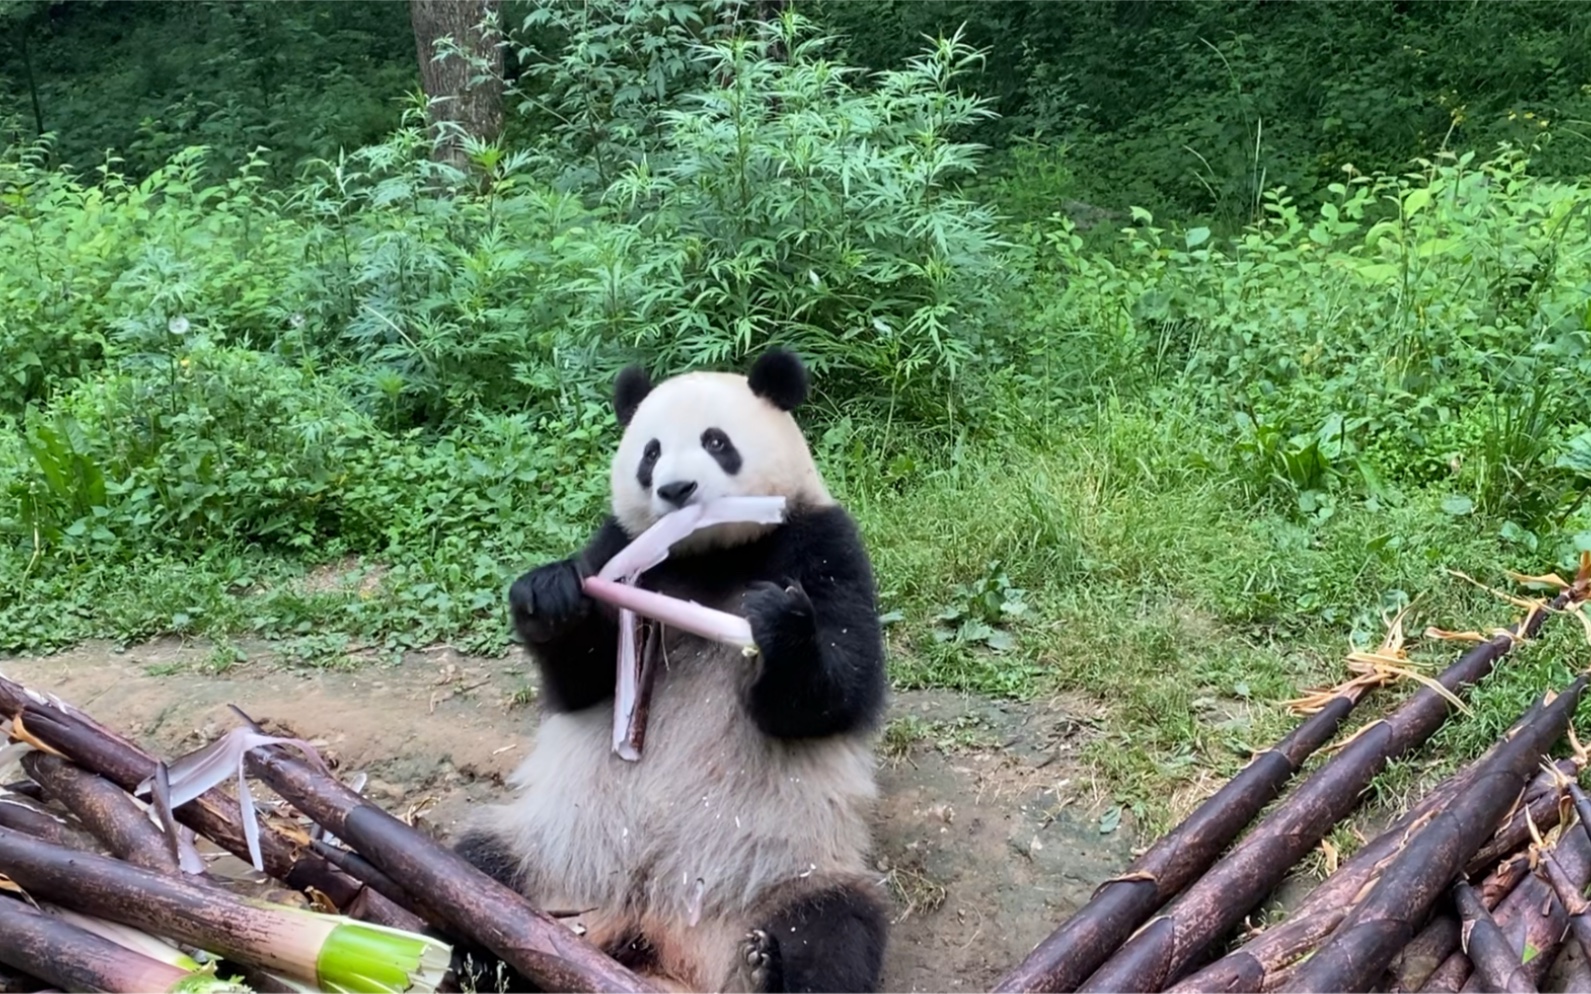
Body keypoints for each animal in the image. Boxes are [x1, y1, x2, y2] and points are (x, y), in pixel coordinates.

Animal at [455, 345, 890, 986]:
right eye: (651, 452)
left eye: (716, 441)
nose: (677, 488)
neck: (706, 552)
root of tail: (652, 932)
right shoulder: (617, 548)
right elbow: (580, 684)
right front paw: (549, 595)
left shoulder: (823, 542)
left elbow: (839, 690)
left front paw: (777, 623)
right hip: (552, 854)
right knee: (480, 862)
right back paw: (479, 958)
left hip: (786, 875)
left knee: (834, 931)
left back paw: (768, 967)